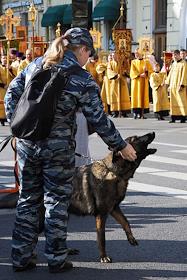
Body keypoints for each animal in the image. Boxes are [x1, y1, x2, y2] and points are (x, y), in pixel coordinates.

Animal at [67, 131, 156, 262]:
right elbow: (102, 237)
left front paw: (131, 238)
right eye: (135, 138)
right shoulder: (102, 214)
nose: (152, 132)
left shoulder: (114, 208)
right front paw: (103, 256)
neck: (115, 172)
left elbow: (125, 222)